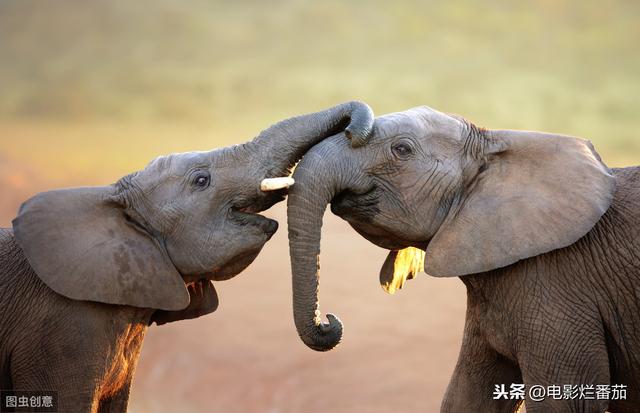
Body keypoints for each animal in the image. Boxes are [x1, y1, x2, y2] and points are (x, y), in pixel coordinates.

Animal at [288, 104, 636, 410]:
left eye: (402, 149)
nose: (329, 321)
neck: (495, 145)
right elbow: (466, 395)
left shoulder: (558, 286)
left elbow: (568, 402)